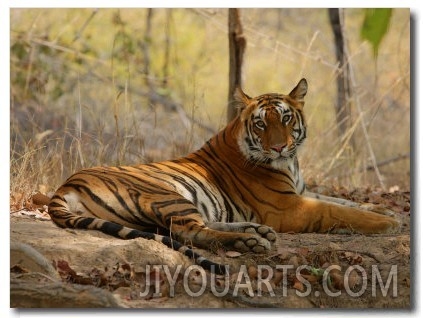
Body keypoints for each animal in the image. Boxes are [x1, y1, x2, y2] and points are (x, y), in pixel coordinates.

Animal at [48, 79, 400, 274]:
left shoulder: (301, 192)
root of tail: (66, 184)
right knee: (191, 231)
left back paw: (257, 231)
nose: (279, 146)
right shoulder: (289, 207)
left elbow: (342, 200)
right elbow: (337, 210)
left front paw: (385, 209)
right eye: (261, 124)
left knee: (194, 225)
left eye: (286, 118)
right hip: (167, 194)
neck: (291, 163)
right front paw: (388, 223)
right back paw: (249, 240)